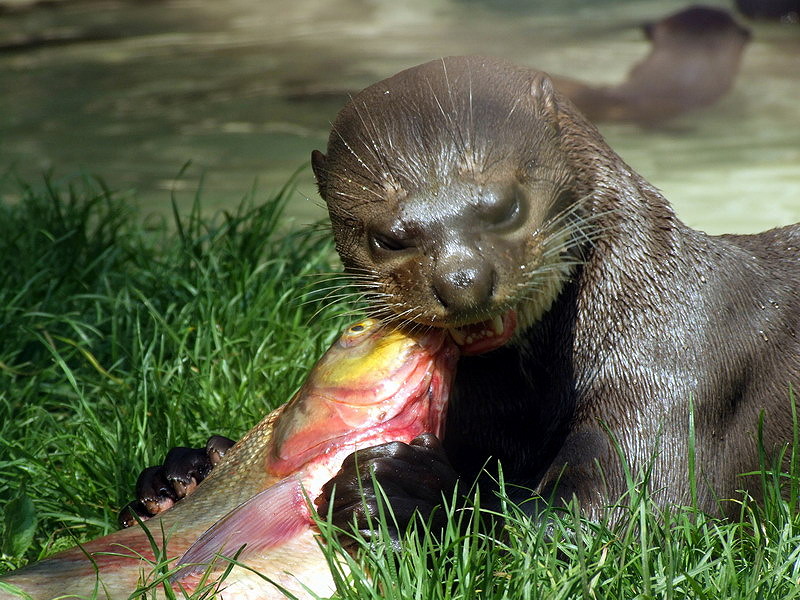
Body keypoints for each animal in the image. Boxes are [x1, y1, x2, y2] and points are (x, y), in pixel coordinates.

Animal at [124, 56, 799, 538]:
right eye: (387, 237)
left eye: (504, 207)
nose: (461, 281)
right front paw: (182, 475)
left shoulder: (678, 367)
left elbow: (620, 513)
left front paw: (403, 491)